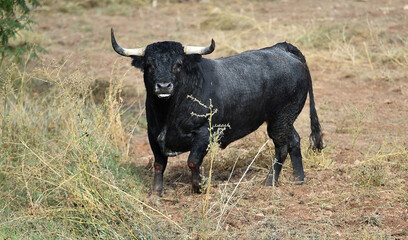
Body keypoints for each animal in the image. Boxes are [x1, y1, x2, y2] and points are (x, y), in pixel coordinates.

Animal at [111, 29, 322, 196]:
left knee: (282, 146)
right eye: (149, 65)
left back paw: (270, 181)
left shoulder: (204, 133)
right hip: (284, 120)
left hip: (280, 119)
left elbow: (193, 161)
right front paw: (155, 194)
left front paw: (199, 187)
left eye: (178, 64)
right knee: (294, 140)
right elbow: (158, 165)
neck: (169, 110)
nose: (163, 86)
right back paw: (299, 178)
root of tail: (282, 49)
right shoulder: (153, 135)